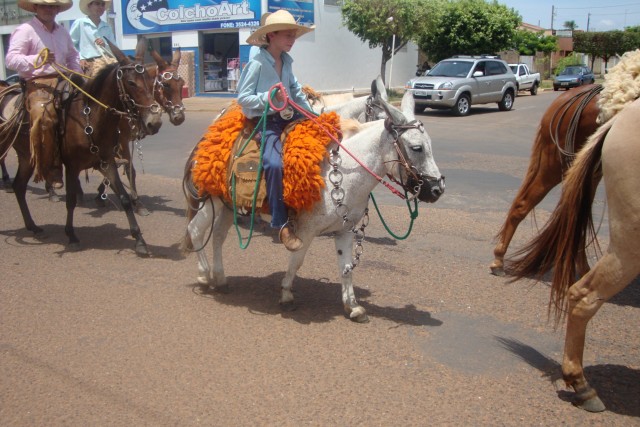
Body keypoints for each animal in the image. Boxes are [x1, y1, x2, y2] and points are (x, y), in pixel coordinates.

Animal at [0, 36, 162, 256]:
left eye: (152, 82)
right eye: (130, 83)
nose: (154, 122)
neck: (90, 118)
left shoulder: (107, 161)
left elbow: (124, 197)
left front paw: (139, 240)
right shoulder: (72, 166)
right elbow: (71, 201)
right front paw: (71, 236)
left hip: (27, 156)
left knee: (19, 186)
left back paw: (33, 227)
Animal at [180, 86, 444, 320]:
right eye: (416, 147)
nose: (437, 189)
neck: (342, 171)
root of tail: (205, 139)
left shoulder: (345, 230)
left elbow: (346, 268)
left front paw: (353, 307)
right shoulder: (305, 231)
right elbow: (297, 261)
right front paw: (286, 295)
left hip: (228, 206)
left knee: (217, 236)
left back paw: (220, 279)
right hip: (209, 202)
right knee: (195, 231)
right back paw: (204, 276)